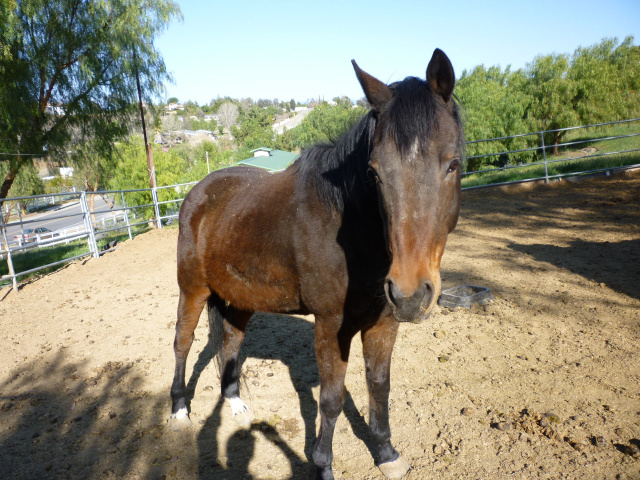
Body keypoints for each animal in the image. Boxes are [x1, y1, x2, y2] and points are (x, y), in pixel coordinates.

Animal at [170, 49, 460, 480]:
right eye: (374, 173)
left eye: (453, 164)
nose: (410, 294)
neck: (350, 225)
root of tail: (199, 192)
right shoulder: (330, 324)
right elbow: (332, 399)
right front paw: (323, 465)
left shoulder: (384, 322)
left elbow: (379, 387)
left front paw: (386, 453)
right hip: (192, 290)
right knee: (183, 342)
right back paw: (178, 409)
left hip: (239, 299)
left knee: (231, 343)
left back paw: (236, 405)